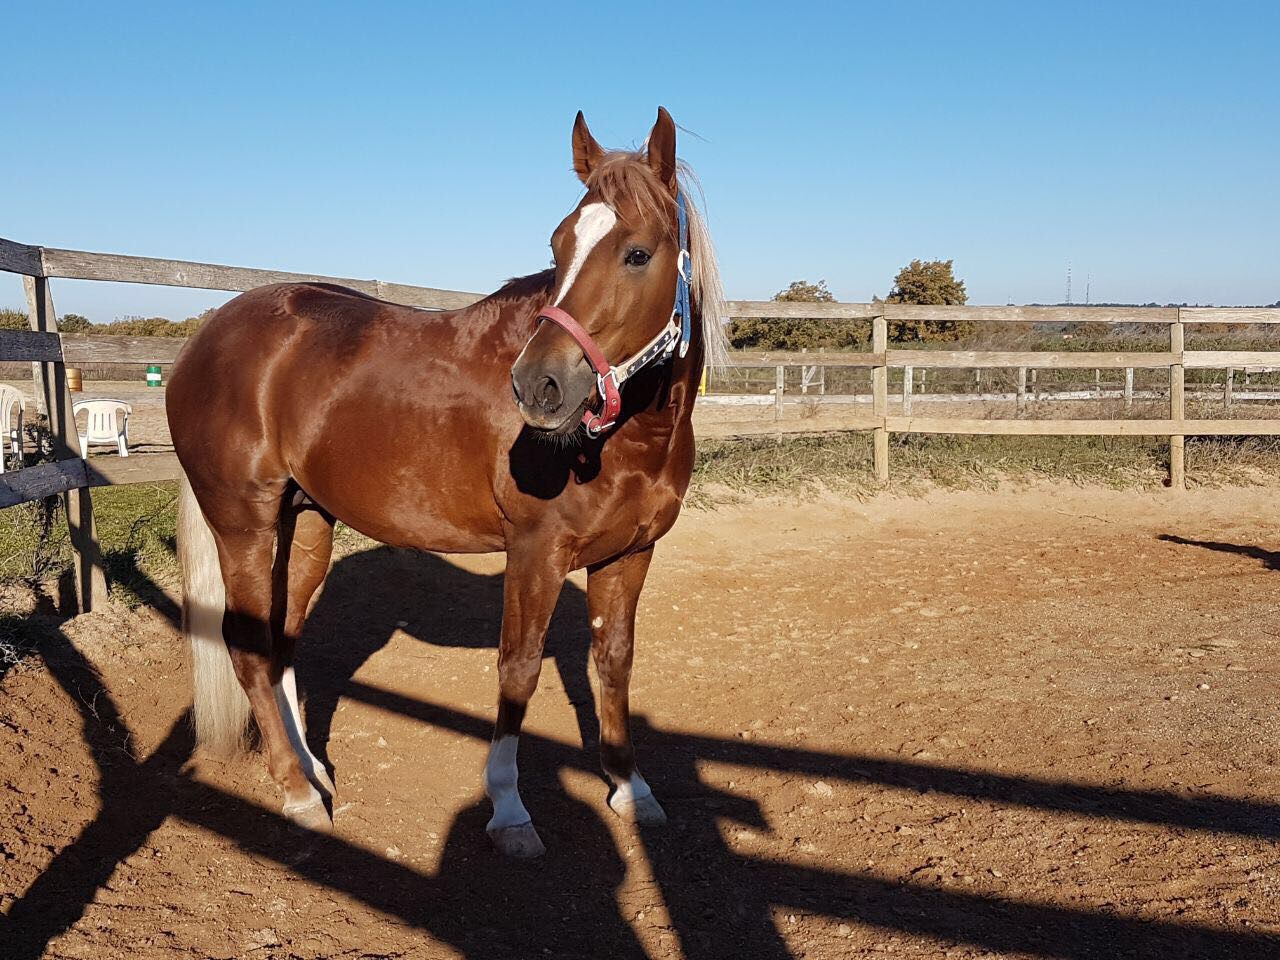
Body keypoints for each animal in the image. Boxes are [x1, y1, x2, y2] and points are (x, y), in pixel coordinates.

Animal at [167, 107, 727, 858]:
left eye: (637, 253)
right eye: (558, 246)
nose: (539, 384)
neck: (629, 438)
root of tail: (204, 336)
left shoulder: (631, 553)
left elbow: (613, 663)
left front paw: (630, 788)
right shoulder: (535, 553)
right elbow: (518, 671)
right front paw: (510, 810)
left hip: (307, 522)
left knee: (282, 640)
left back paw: (313, 771)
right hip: (244, 523)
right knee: (249, 647)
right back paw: (298, 795)